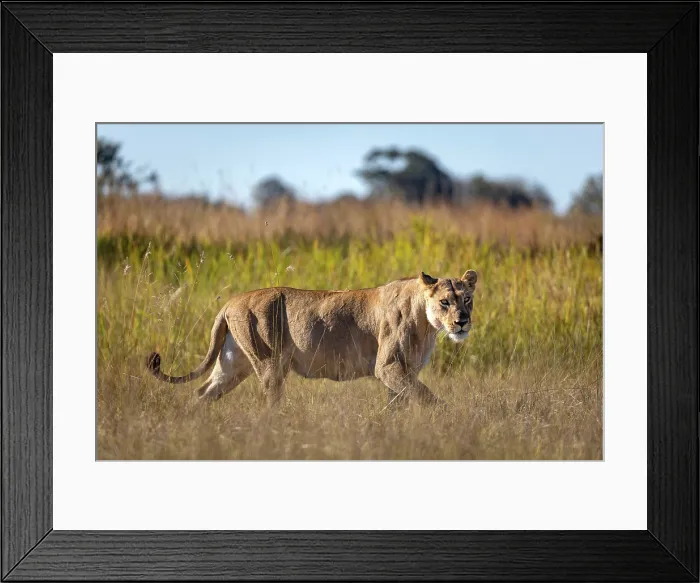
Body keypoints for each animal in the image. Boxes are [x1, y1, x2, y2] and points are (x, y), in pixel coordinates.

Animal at [146, 269, 477, 409]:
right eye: (445, 302)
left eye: (467, 299)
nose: (462, 321)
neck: (427, 324)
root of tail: (230, 302)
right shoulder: (388, 367)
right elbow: (430, 399)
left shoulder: (402, 371)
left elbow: (401, 403)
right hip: (269, 363)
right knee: (270, 403)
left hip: (233, 364)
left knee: (202, 392)